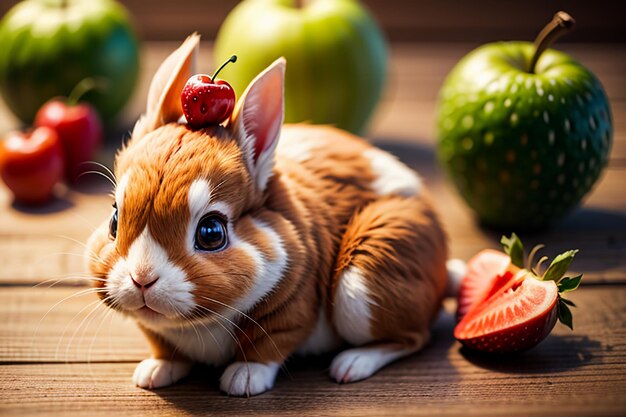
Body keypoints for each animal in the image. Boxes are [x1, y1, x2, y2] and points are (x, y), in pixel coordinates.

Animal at [84, 34, 458, 394]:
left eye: (211, 233)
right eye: (114, 219)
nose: (141, 279)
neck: (197, 324)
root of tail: (442, 269)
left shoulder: (293, 309)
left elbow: (268, 344)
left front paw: (244, 380)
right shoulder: (157, 331)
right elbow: (162, 344)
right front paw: (155, 371)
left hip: (367, 277)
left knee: (413, 337)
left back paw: (352, 363)